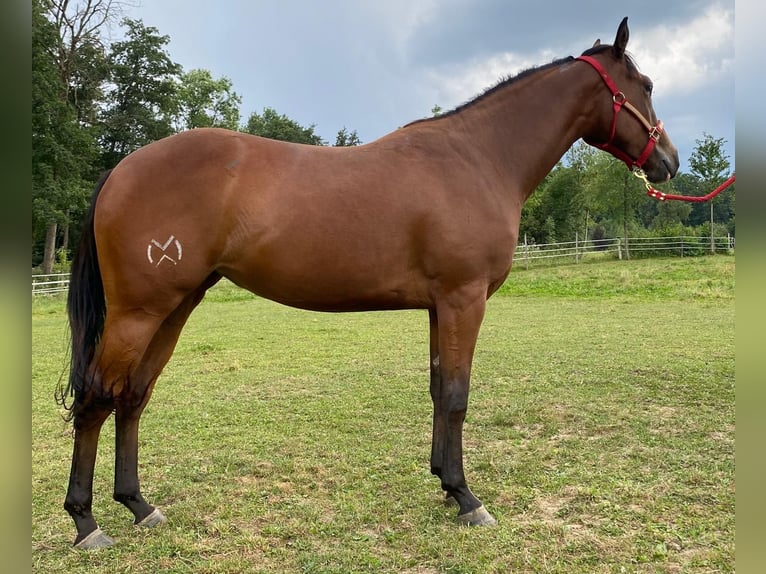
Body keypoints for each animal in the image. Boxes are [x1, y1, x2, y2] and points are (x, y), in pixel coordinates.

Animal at [58, 18, 678, 549]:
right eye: (645, 85)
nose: (669, 161)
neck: (478, 158)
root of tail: (123, 168)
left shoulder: (439, 307)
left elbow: (438, 390)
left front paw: (445, 484)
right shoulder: (463, 300)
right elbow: (457, 396)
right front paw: (468, 498)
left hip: (176, 305)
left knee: (132, 397)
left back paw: (139, 506)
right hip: (138, 312)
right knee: (97, 398)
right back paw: (86, 523)